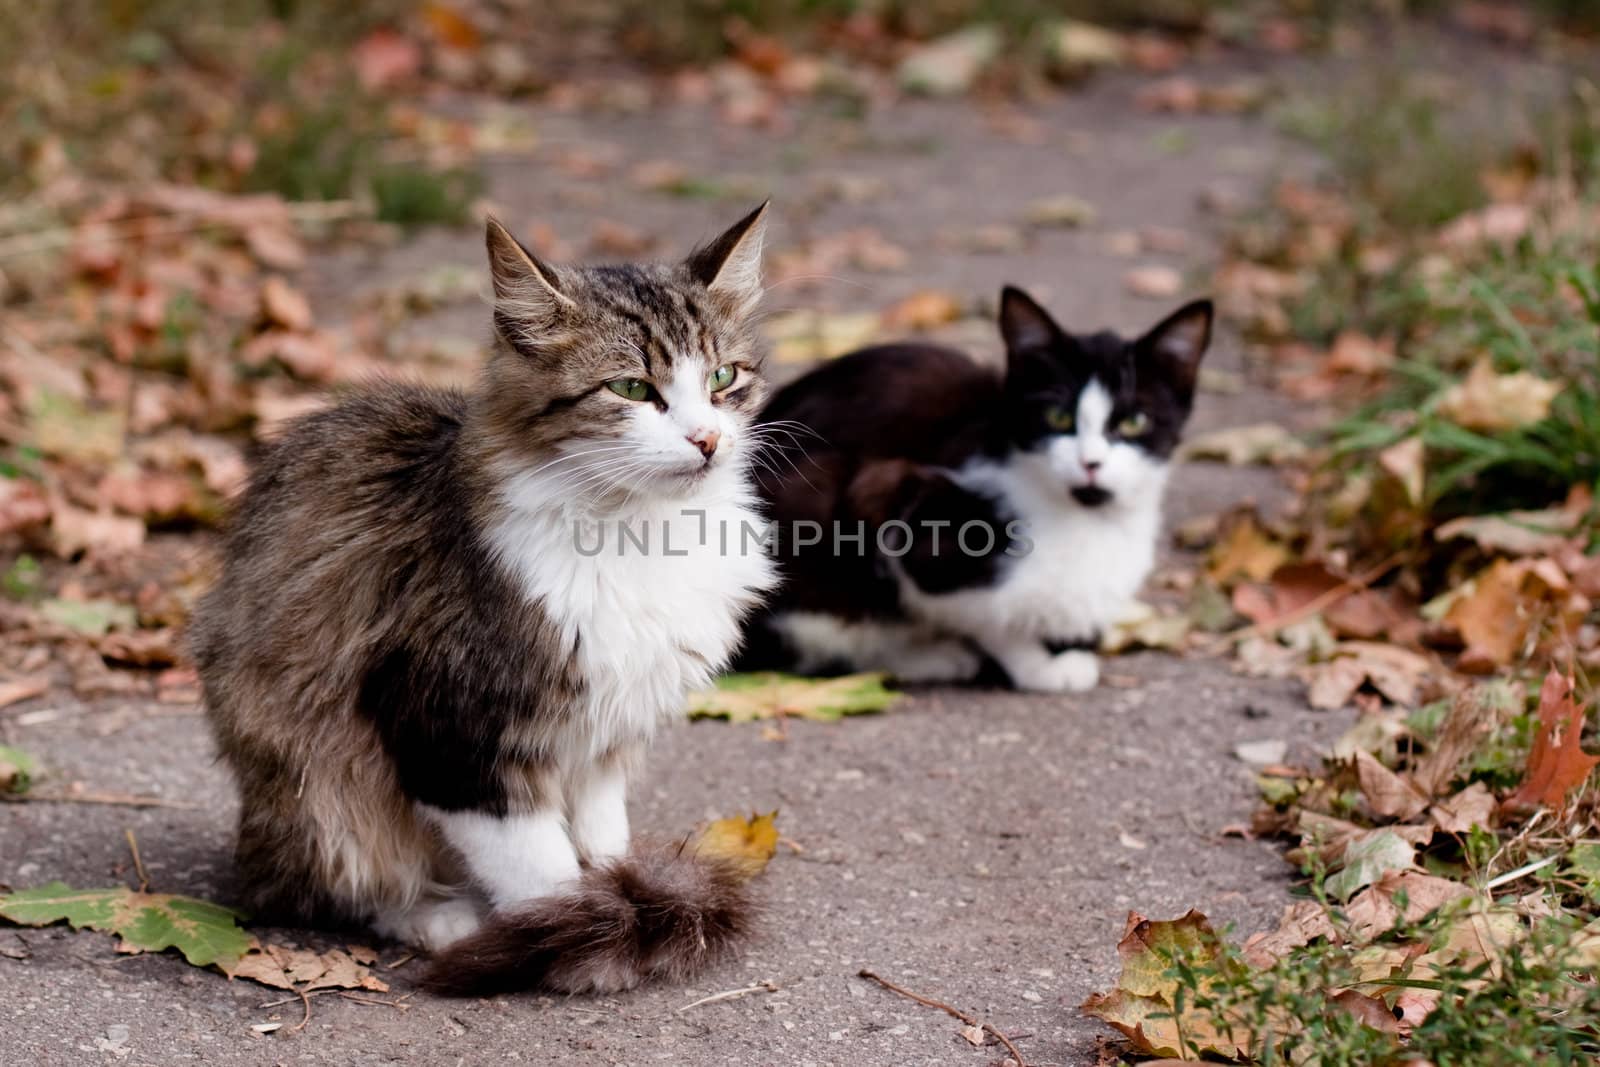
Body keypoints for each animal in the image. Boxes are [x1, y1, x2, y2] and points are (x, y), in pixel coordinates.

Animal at [190, 202, 777, 991]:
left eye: (722, 377)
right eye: (630, 389)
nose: (708, 439)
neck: (640, 530)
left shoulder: (604, 735)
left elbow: (601, 838)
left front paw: (617, 899)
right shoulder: (454, 731)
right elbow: (541, 870)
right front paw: (578, 934)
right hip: (312, 776)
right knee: (337, 881)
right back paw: (441, 917)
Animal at [742, 286, 1203, 694]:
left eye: (1134, 422)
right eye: (1056, 417)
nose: (1091, 463)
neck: (1085, 516)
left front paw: (1073, 647)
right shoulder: (898, 505)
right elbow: (986, 616)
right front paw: (1040, 666)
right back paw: (929, 656)